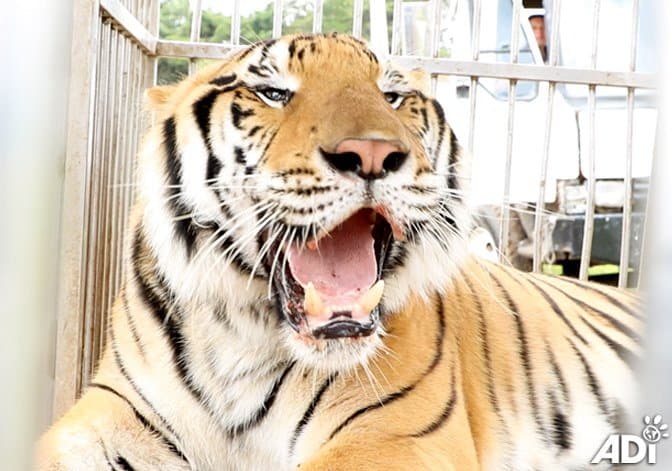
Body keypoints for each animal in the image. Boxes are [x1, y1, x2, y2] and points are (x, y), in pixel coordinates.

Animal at [37, 33, 642, 470]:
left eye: (392, 96)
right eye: (273, 93)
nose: (371, 153)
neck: (241, 340)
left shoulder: (396, 434)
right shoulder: (110, 412)